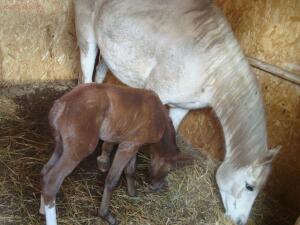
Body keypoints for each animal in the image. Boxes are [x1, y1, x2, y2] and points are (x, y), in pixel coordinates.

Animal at [41, 0, 278, 225]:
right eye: (249, 186)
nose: (239, 221)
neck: (209, 64)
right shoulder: (155, 94)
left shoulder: (182, 107)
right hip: (88, 40)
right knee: (86, 77)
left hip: (108, 54)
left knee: (98, 78)